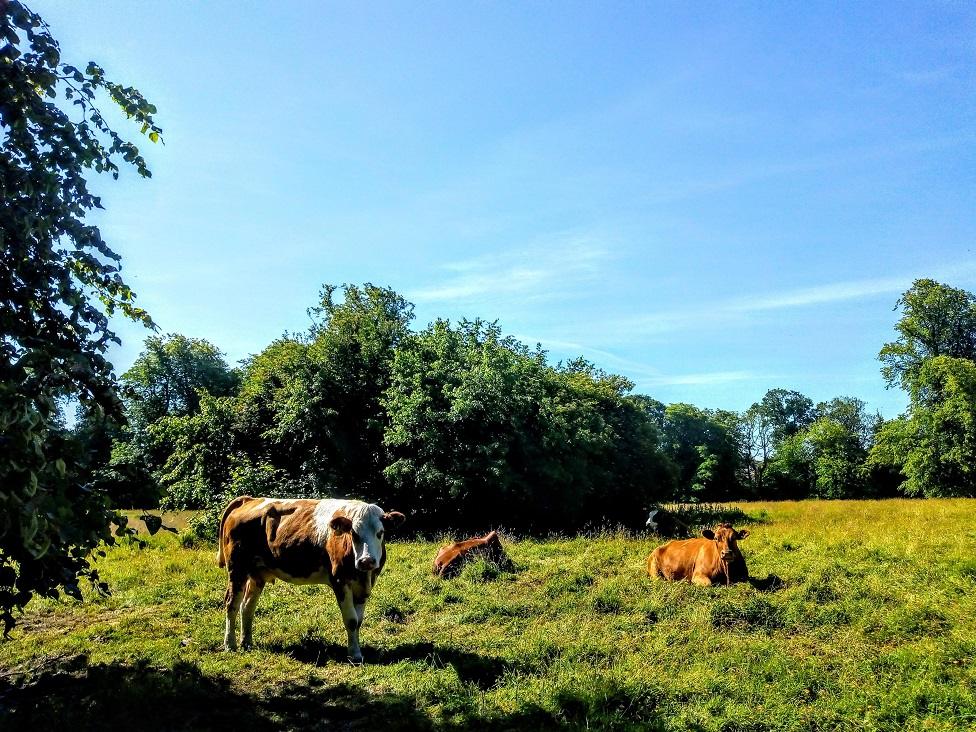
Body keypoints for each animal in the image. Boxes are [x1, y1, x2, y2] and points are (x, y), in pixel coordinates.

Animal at [217, 494, 404, 660]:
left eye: (380, 533)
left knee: (247, 606)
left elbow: (358, 621)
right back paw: (230, 644)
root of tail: (251, 499)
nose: (366, 561)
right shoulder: (340, 581)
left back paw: (246, 642)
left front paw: (356, 650)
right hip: (237, 568)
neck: (363, 573)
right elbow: (351, 620)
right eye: (354, 534)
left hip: (257, 573)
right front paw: (354, 655)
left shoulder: (365, 585)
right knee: (232, 603)